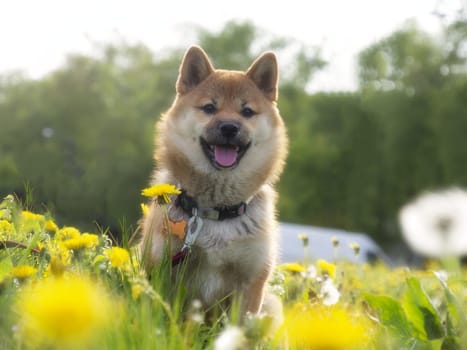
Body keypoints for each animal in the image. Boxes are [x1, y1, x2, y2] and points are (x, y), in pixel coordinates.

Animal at [141, 45, 288, 316]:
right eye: (209, 108)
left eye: (247, 112)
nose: (229, 127)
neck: (216, 211)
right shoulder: (163, 266)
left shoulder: (251, 281)